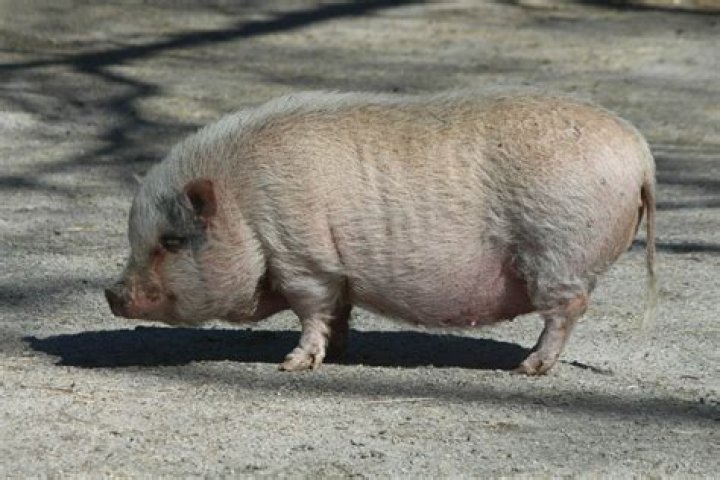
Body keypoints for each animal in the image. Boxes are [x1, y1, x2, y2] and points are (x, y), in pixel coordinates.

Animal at [105, 90, 657, 375]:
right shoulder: (336, 275)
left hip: (560, 250)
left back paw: (527, 367)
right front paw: (339, 353)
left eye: (172, 241)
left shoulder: (304, 260)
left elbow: (311, 311)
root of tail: (641, 153)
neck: (245, 205)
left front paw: (291, 364)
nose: (112, 293)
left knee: (567, 309)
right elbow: (338, 312)